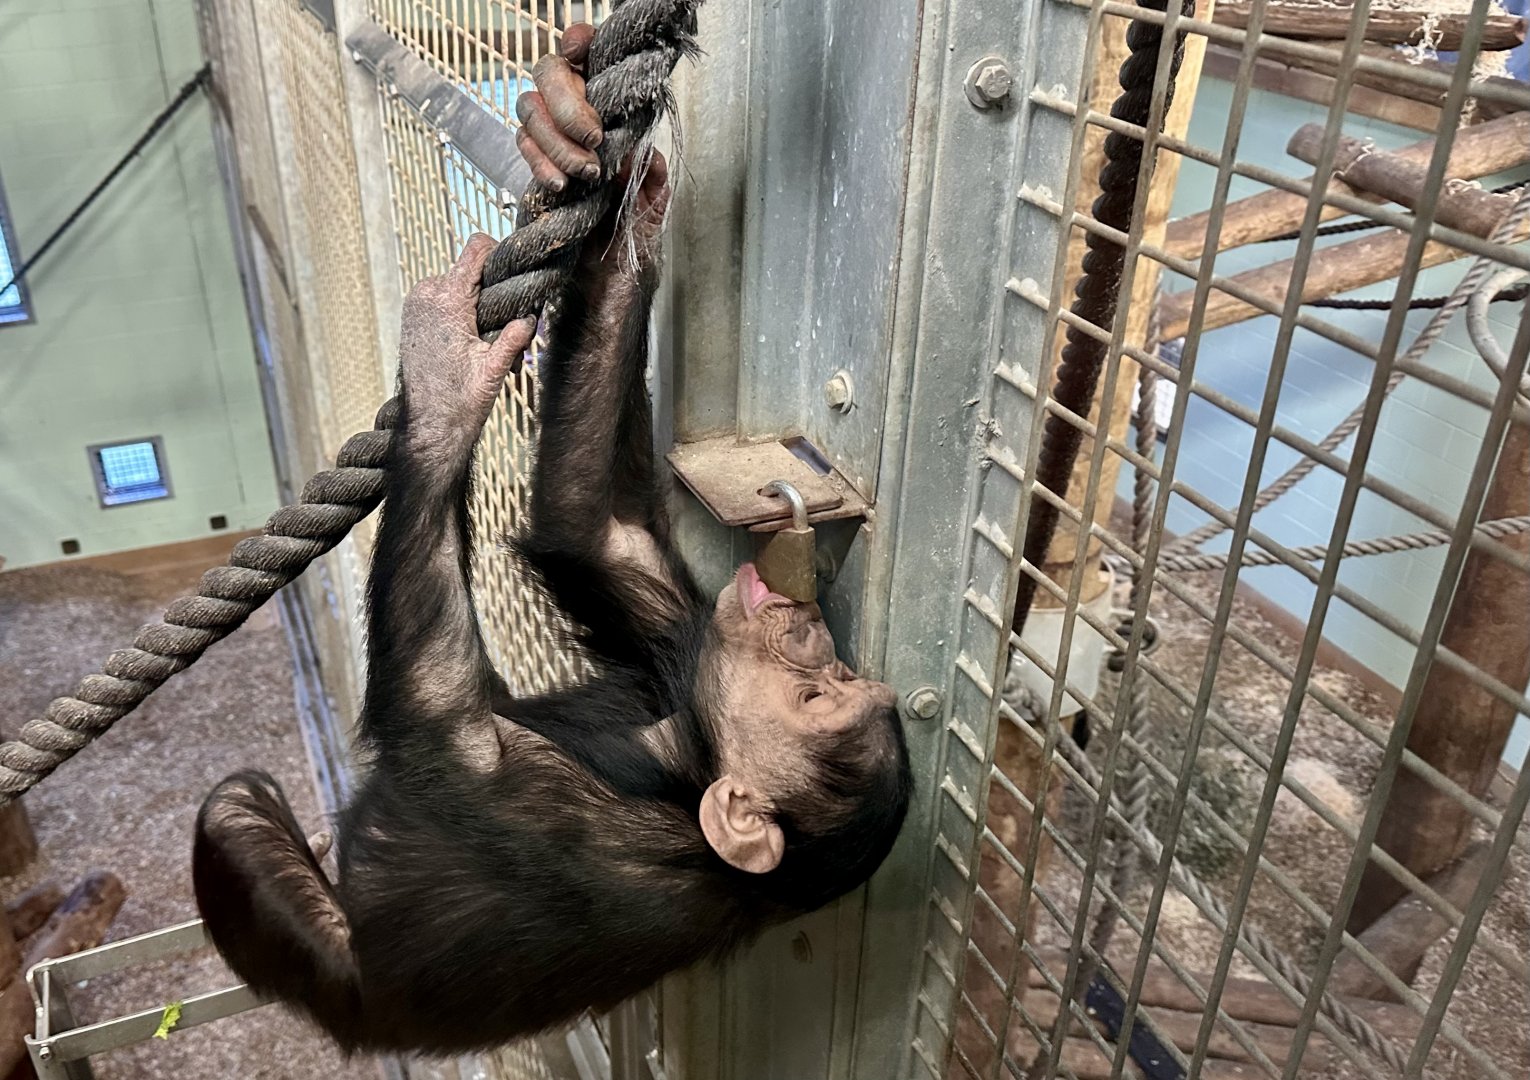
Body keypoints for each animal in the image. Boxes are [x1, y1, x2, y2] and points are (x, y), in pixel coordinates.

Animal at [192, 24, 912, 1056]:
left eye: (816, 698)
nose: (810, 633)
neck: (686, 753)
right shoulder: (680, 642)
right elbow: (591, 525)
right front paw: (593, 153)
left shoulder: (559, 819)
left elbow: (440, 725)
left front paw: (444, 379)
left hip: (327, 968)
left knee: (237, 811)